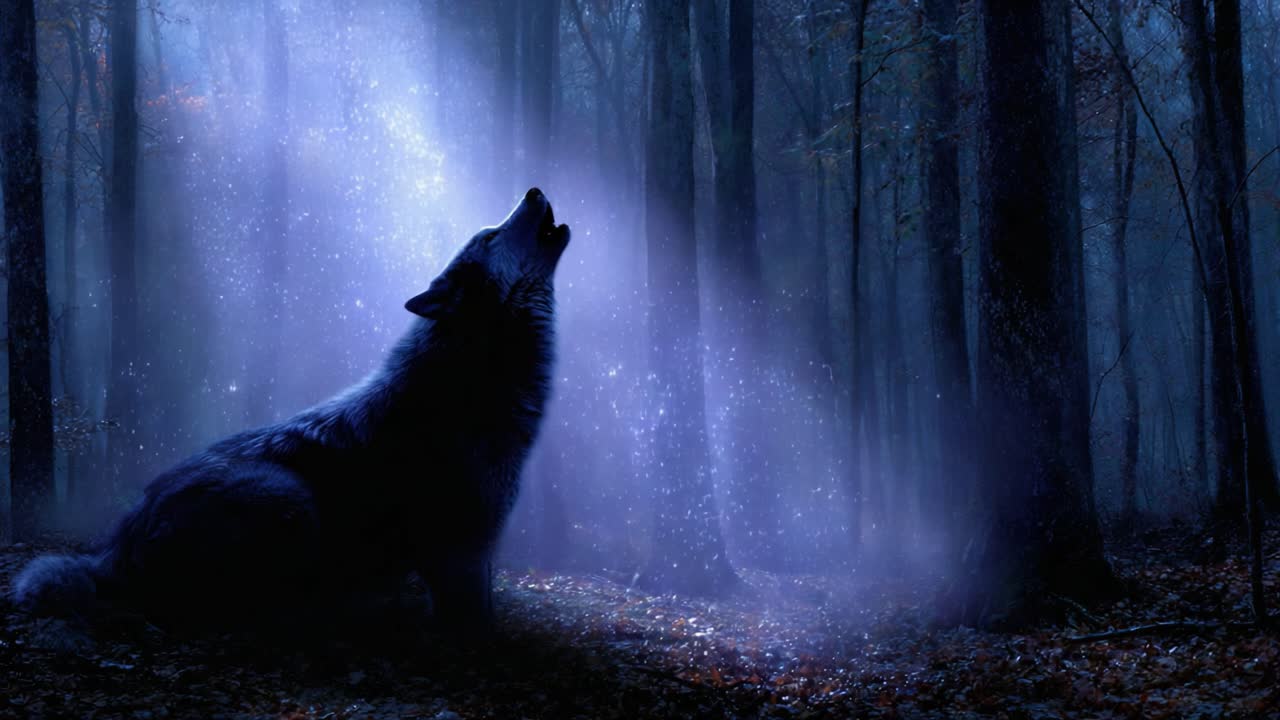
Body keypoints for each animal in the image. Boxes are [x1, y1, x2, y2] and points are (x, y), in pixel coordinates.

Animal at [13, 187, 570, 631]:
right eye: (490, 237)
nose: (534, 189)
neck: (473, 372)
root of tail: (117, 544)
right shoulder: (461, 550)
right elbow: (474, 623)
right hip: (290, 497)